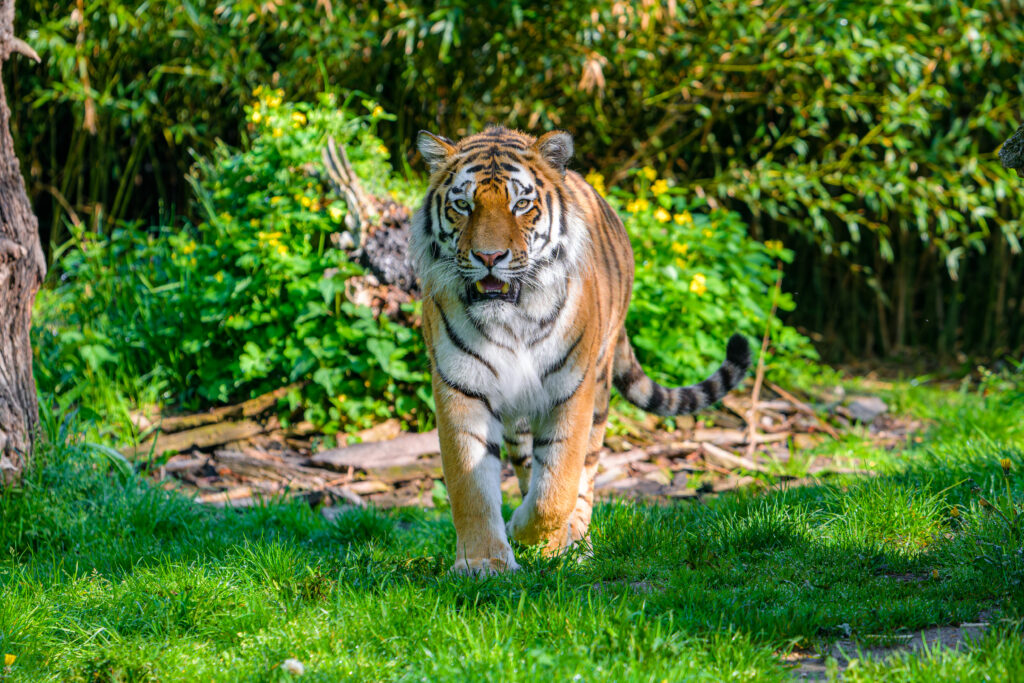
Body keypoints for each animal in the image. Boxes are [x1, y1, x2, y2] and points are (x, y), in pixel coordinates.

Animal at [410, 126, 751, 575]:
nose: (489, 256)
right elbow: (472, 486)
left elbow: (556, 488)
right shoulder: (461, 388)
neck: (511, 319)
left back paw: (575, 544)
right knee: (526, 464)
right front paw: (484, 563)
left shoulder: (571, 390)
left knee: (582, 476)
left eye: (521, 205)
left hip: (601, 389)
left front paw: (537, 536)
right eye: (462, 206)